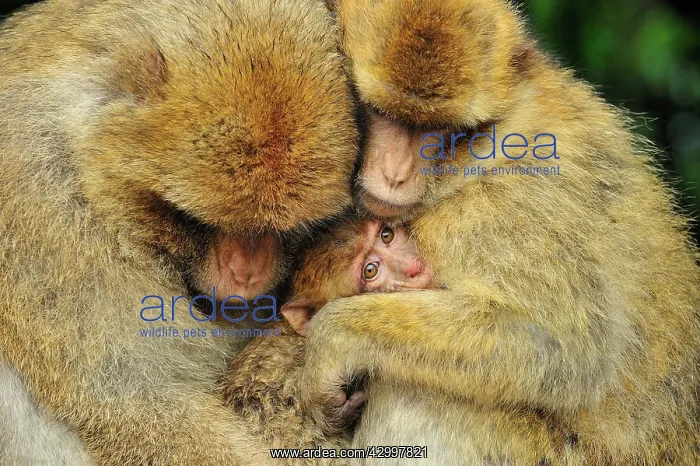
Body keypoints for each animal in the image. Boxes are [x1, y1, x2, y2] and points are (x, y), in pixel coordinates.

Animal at [295, 0, 700, 464]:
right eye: (382, 114)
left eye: (436, 130)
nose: (395, 174)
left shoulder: (503, 211)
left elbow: (565, 351)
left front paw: (329, 342)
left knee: (411, 396)